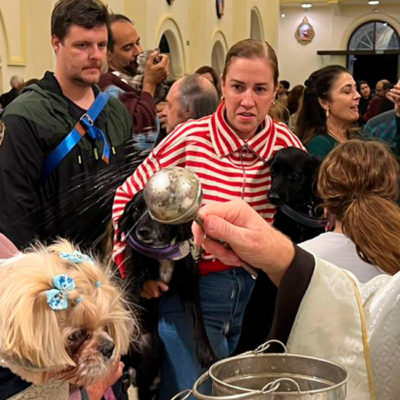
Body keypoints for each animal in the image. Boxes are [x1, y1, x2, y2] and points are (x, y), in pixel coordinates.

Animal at [118, 191, 216, 400]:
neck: (160, 251)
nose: (142, 231)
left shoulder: (189, 284)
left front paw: (206, 353)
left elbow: (198, 322)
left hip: (150, 355)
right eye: (136, 209)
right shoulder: (134, 278)